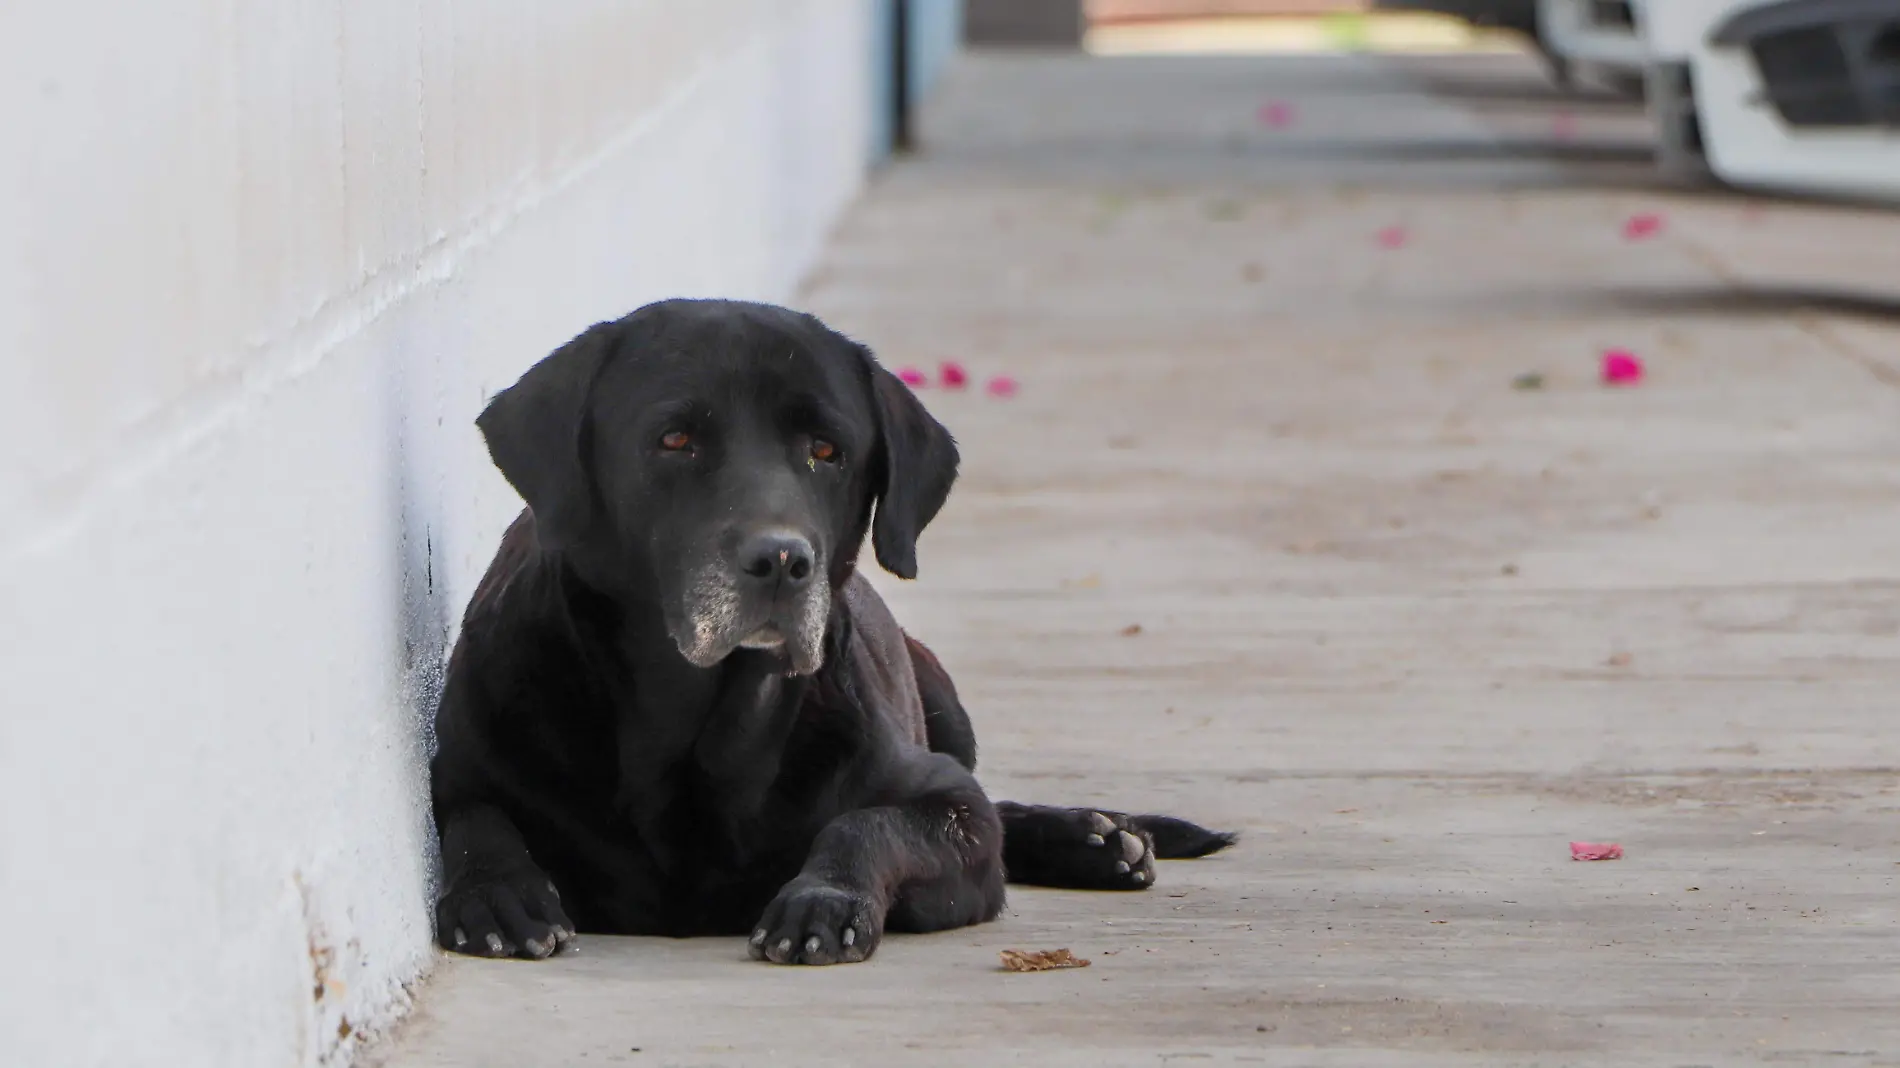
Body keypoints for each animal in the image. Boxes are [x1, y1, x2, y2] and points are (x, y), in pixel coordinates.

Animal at [427, 294, 1231, 961]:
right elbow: (474, 822)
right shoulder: (466, 769)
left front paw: (825, 897)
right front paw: (497, 894)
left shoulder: (949, 811)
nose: (782, 560)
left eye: (826, 451)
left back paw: (1096, 837)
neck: (694, 730)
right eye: (675, 440)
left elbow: (875, 822)